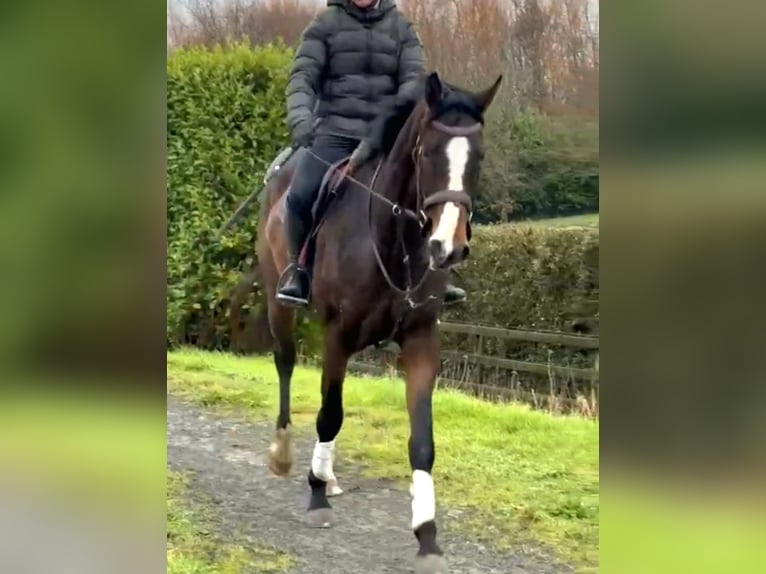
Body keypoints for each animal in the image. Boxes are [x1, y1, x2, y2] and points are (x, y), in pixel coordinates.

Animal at [255, 71, 502, 574]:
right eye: (428, 153)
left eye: (479, 157)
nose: (448, 247)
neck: (395, 240)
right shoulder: (337, 334)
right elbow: (329, 414)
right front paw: (316, 498)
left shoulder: (421, 339)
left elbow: (422, 440)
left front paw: (427, 534)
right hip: (279, 305)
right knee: (286, 365)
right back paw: (286, 456)